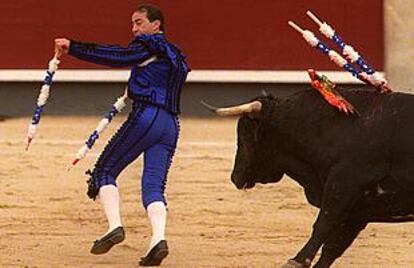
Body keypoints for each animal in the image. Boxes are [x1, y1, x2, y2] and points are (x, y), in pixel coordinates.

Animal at [205, 88, 414, 268]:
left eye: (245, 133)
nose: (235, 177)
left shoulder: (345, 183)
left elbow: (323, 224)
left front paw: (296, 261)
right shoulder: (358, 211)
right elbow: (333, 248)